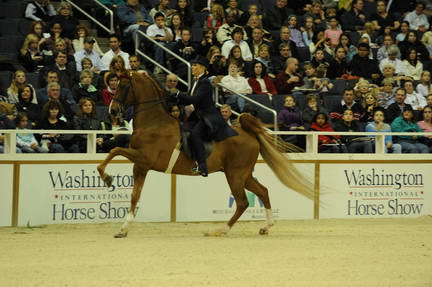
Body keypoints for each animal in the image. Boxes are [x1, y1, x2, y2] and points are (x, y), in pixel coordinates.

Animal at [96, 72, 312, 238]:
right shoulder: (140, 164)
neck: (154, 122)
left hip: (235, 174)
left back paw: (220, 230)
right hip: (242, 174)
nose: (112, 111)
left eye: (123, 86)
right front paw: (123, 227)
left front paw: (107, 180)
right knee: (262, 191)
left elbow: (117, 156)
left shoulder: (142, 160)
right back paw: (266, 226)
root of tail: (247, 132)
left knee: (242, 201)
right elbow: (132, 190)